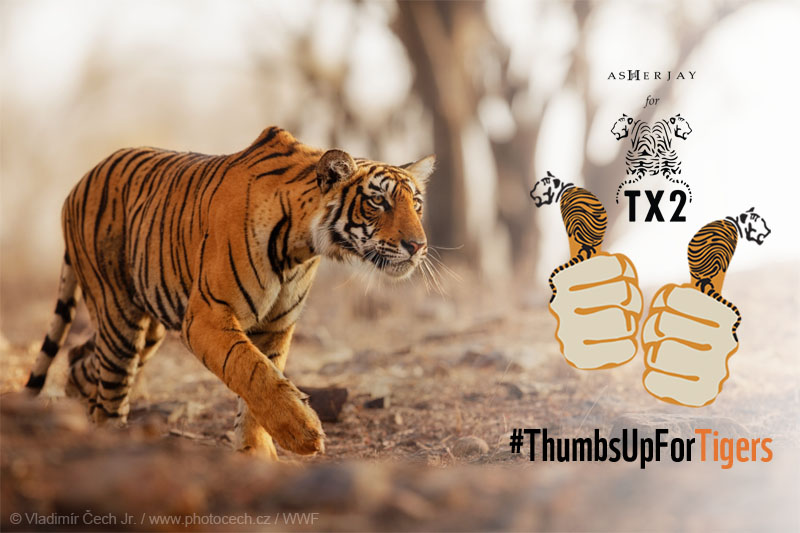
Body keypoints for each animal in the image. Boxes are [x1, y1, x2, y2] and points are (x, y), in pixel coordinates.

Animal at [24, 126, 435, 459]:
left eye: (416, 204)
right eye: (378, 201)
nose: (418, 246)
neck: (300, 248)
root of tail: (78, 183)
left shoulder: (276, 325)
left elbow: (261, 383)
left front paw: (258, 455)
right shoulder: (206, 315)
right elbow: (250, 369)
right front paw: (303, 433)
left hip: (148, 325)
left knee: (81, 359)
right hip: (119, 314)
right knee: (109, 391)